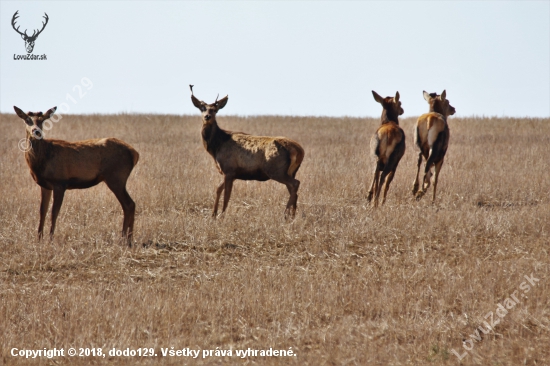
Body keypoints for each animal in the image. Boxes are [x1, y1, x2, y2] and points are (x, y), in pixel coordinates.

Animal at [13, 106, 140, 244]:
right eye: (27, 120)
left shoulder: (60, 182)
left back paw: (126, 239)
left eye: (42, 120)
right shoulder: (45, 186)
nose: (36, 132)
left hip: (116, 178)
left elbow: (54, 212)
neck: (41, 161)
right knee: (130, 204)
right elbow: (42, 211)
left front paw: (50, 239)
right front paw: (39, 238)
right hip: (116, 179)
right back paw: (127, 239)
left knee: (129, 204)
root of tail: (135, 153)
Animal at [190, 85, 306, 217]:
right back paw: (292, 215)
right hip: (291, 171)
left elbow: (227, 196)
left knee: (295, 184)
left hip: (276, 169)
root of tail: (299, 150)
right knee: (293, 188)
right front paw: (213, 215)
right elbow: (218, 189)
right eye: (202, 108)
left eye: (215, 110)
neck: (216, 147)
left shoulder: (229, 170)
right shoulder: (232, 173)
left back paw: (286, 214)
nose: (207, 117)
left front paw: (222, 216)